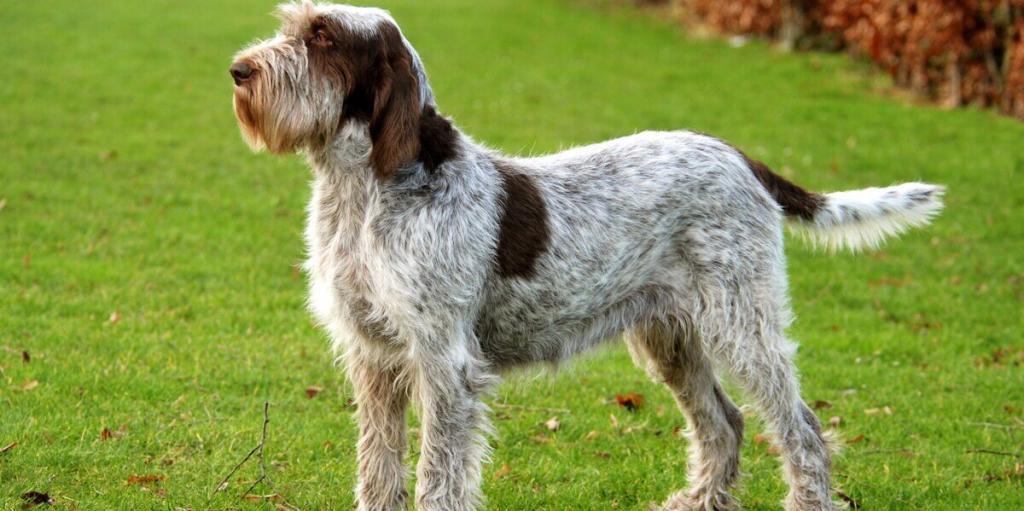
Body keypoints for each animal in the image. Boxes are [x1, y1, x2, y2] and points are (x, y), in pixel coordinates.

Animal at [230, 2, 942, 509]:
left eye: (323, 38)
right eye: (293, 27)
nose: (239, 70)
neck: (364, 191)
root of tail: (741, 157)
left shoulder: (445, 364)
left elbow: (438, 477)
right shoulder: (375, 357)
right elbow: (379, 470)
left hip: (742, 324)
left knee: (801, 430)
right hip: (671, 337)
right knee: (726, 423)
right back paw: (699, 501)